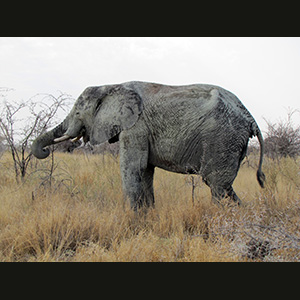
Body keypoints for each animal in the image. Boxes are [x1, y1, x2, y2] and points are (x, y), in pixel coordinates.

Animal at [31, 81, 264, 210]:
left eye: (78, 112)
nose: (45, 150)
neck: (111, 86)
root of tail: (250, 117)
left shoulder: (136, 126)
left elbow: (133, 168)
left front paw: (132, 220)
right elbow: (145, 172)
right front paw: (148, 215)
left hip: (223, 138)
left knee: (215, 184)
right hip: (233, 142)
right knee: (224, 186)